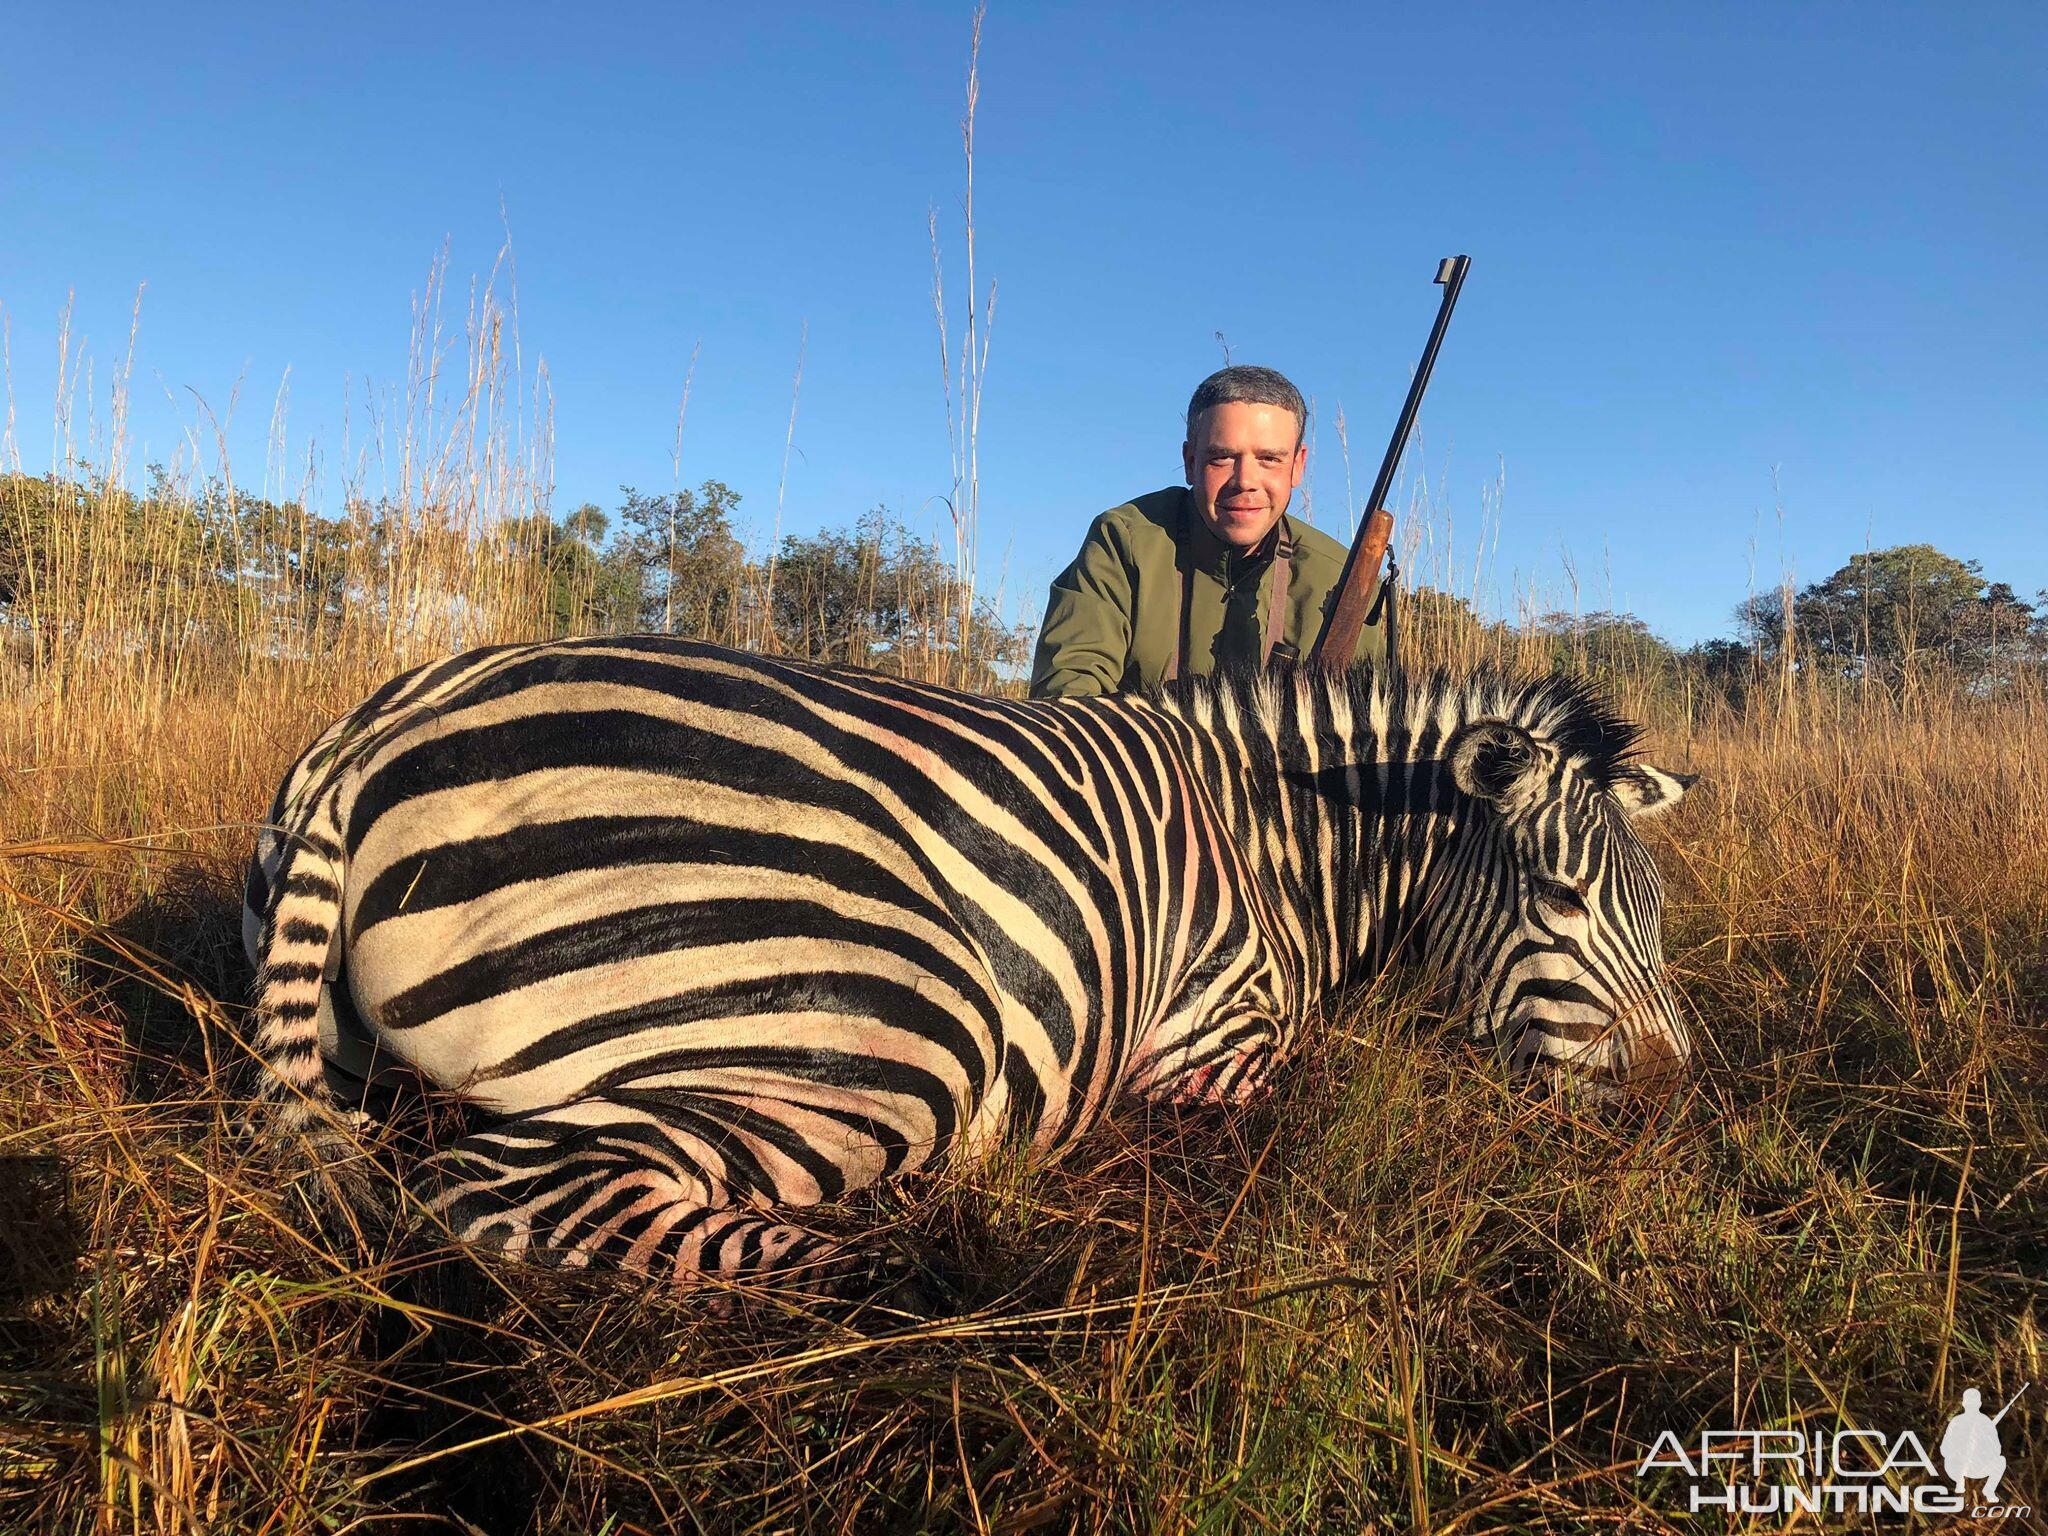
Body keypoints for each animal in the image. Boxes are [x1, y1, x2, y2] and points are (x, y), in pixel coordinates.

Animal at [243, 638, 1695, 1302]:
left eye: (1655, 910)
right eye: (1561, 898)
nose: (1668, 1105)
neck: (1268, 846)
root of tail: (375, 733)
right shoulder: (1212, 1048)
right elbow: (1293, 1108)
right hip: (894, 1026)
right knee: (502, 1194)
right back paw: (933, 1270)